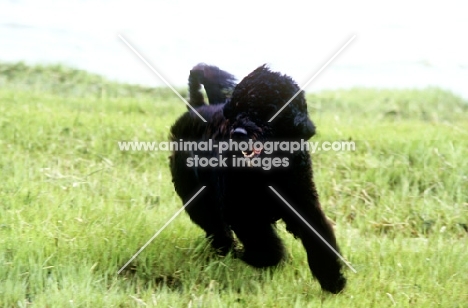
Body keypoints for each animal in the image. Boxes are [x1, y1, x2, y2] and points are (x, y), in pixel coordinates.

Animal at [170, 63, 346, 294]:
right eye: (236, 109)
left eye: (267, 109)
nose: (239, 132)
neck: (267, 172)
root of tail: (196, 108)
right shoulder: (241, 208)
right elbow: (264, 244)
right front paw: (261, 259)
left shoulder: (304, 203)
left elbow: (319, 238)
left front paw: (333, 279)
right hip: (198, 199)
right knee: (215, 228)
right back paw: (229, 252)